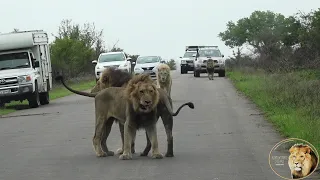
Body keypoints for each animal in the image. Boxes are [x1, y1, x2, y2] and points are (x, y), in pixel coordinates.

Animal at [55, 73, 195, 159]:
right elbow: (127, 139)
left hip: (109, 122)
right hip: (101, 119)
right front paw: (126, 154)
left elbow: (153, 139)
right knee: (96, 137)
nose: (148, 102)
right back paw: (101, 153)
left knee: (103, 138)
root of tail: (98, 94)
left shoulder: (150, 123)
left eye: (151, 91)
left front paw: (156, 154)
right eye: (141, 91)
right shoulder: (127, 123)